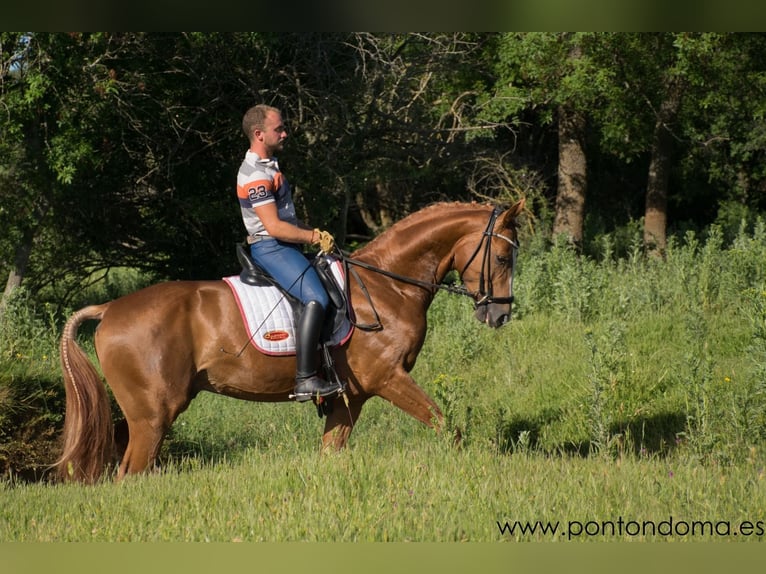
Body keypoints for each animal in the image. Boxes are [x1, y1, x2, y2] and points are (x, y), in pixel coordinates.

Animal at [57, 200, 528, 484]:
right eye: (504, 257)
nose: (500, 314)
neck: (388, 286)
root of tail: (110, 309)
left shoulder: (352, 396)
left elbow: (331, 452)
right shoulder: (387, 379)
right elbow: (448, 426)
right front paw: (477, 467)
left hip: (145, 416)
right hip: (153, 415)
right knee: (131, 473)